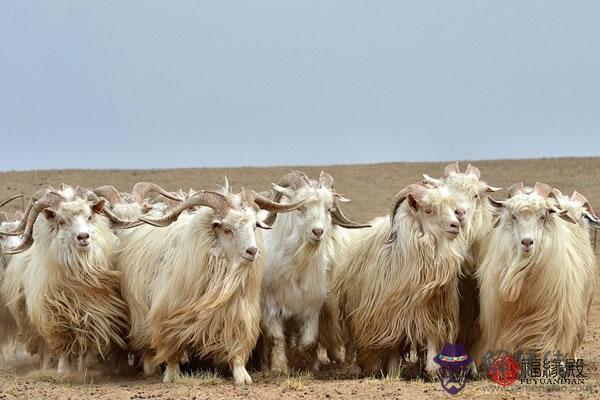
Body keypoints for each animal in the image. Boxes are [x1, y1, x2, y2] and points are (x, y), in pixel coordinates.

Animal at [116, 185, 304, 384]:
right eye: (227, 229)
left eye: (254, 226)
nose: (252, 251)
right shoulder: (168, 313)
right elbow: (172, 347)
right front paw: (172, 375)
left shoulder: (239, 314)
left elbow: (237, 345)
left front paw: (242, 376)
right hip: (139, 314)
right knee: (145, 346)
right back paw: (150, 370)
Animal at [258, 170, 368, 374]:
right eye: (300, 208)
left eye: (328, 209)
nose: (318, 231)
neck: (297, 267)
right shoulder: (270, 306)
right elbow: (276, 337)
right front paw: (279, 367)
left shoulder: (311, 306)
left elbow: (308, 341)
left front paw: (302, 362)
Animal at [330, 183, 466, 376]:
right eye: (428, 210)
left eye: (453, 209)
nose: (455, 225)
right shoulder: (390, 316)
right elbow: (393, 345)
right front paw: (392, 372)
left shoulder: (433, 310)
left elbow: (432, 337)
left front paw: (433, 371)